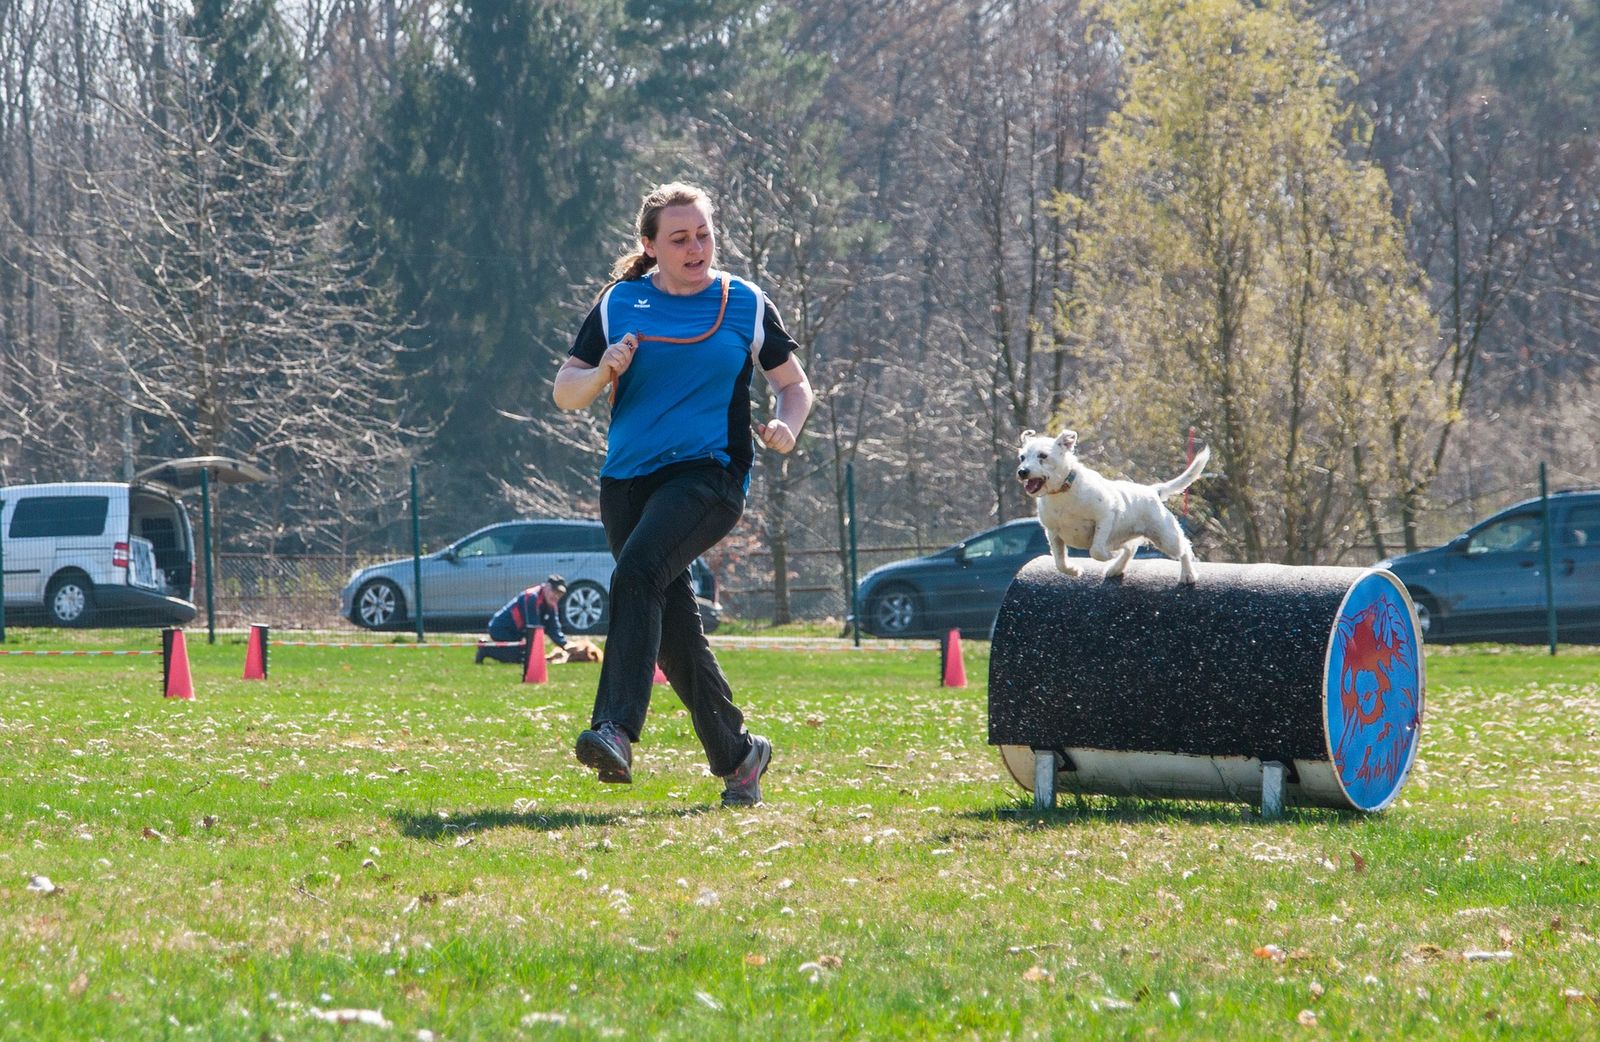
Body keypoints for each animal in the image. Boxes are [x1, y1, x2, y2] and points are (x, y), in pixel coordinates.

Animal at [1017, 428, 1203, 582]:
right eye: (1022, 457)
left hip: (1165, 537)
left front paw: (1109, 555)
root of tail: (1152, 490)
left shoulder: (1104, 517)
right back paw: (1116, 568)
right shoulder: (1052, 532)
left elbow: (1096, 550)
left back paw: (1188, 574)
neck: (1063, 492)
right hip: (1124, 536)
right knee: (1130, 549)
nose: (1022, 471)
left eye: (1043, 455)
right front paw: (1073, 570)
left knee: (1184, 549)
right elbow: (1059, 561)